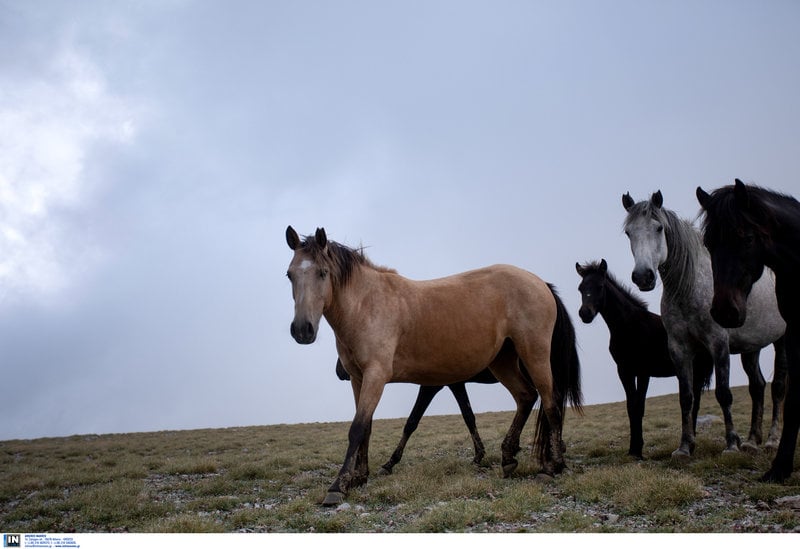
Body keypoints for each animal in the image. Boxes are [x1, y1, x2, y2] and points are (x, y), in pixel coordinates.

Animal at [286, 226, 580, 506]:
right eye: (289, 275)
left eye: (323, 272)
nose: (302, 330)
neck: (368, 304)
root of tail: (540, 283)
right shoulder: (360, 379)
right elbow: (367, 426)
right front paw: (359, 477)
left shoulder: (378, 377)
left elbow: (358, 428)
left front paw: (338, 486)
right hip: (503, 361)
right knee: (525, 396)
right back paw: (508, 457)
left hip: (535, 354)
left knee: (550, 402)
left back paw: (552, 466)